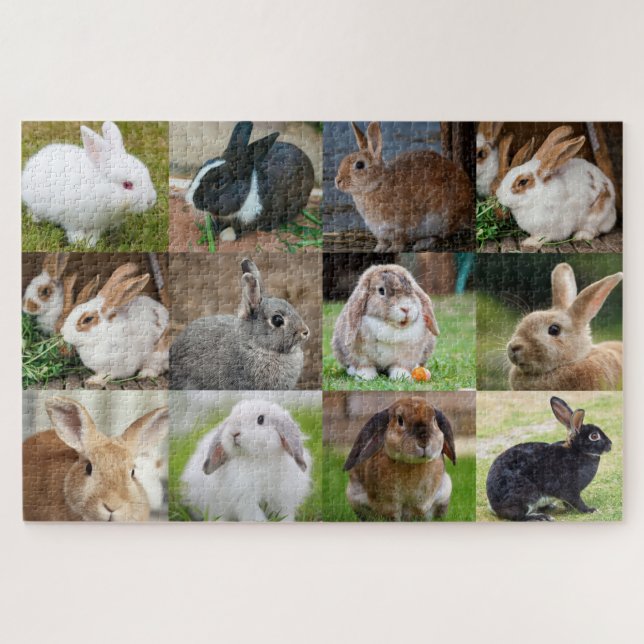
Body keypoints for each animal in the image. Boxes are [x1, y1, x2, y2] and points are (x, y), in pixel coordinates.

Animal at [21, 121, 157, 247]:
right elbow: (74, 232)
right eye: (127, 185)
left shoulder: (98, 225)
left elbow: (94, 233)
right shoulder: (72, 220)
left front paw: (90, 243)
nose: (151, 200)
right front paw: (79, 242)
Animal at [180, 400, 311, 521]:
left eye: (260, 419)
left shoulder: (283, 498)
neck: (260, 459)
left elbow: (285, 515)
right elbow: (255, 517)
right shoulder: (246, 500)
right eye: (231, 417)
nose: (233, 433)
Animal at [185, 121, 314, 242]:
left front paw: (227, 235)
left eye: (220, 183)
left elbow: (242, 229)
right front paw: (213, 228)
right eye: (204, 165)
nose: (189, 199)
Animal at [334, 122, 474, 251]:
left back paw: (421, 244)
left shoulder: (401, 226)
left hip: (442, 220)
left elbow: (399, 241)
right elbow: (382, 241)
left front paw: (393, 249)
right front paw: (378, 249)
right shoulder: (378, 230)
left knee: (439, 236)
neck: (377, 184)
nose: (338, 181)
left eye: (359, 165)